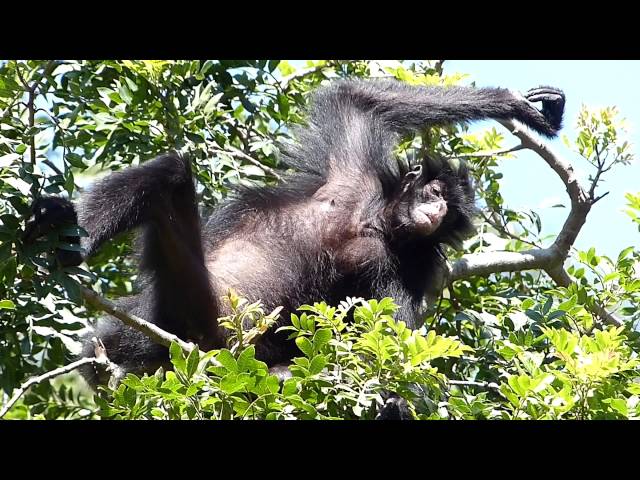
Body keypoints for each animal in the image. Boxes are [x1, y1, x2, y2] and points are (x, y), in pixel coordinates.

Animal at [21, 79, 564, 416]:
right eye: (435, 195)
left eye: (449, 216)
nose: (434, 214)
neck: (371, 222)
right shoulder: (351, 166)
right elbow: (356, 98)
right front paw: (522, 104)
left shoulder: (405, 269)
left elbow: (387, 341)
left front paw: (392, 403)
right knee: (170, 174)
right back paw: (65, 236)